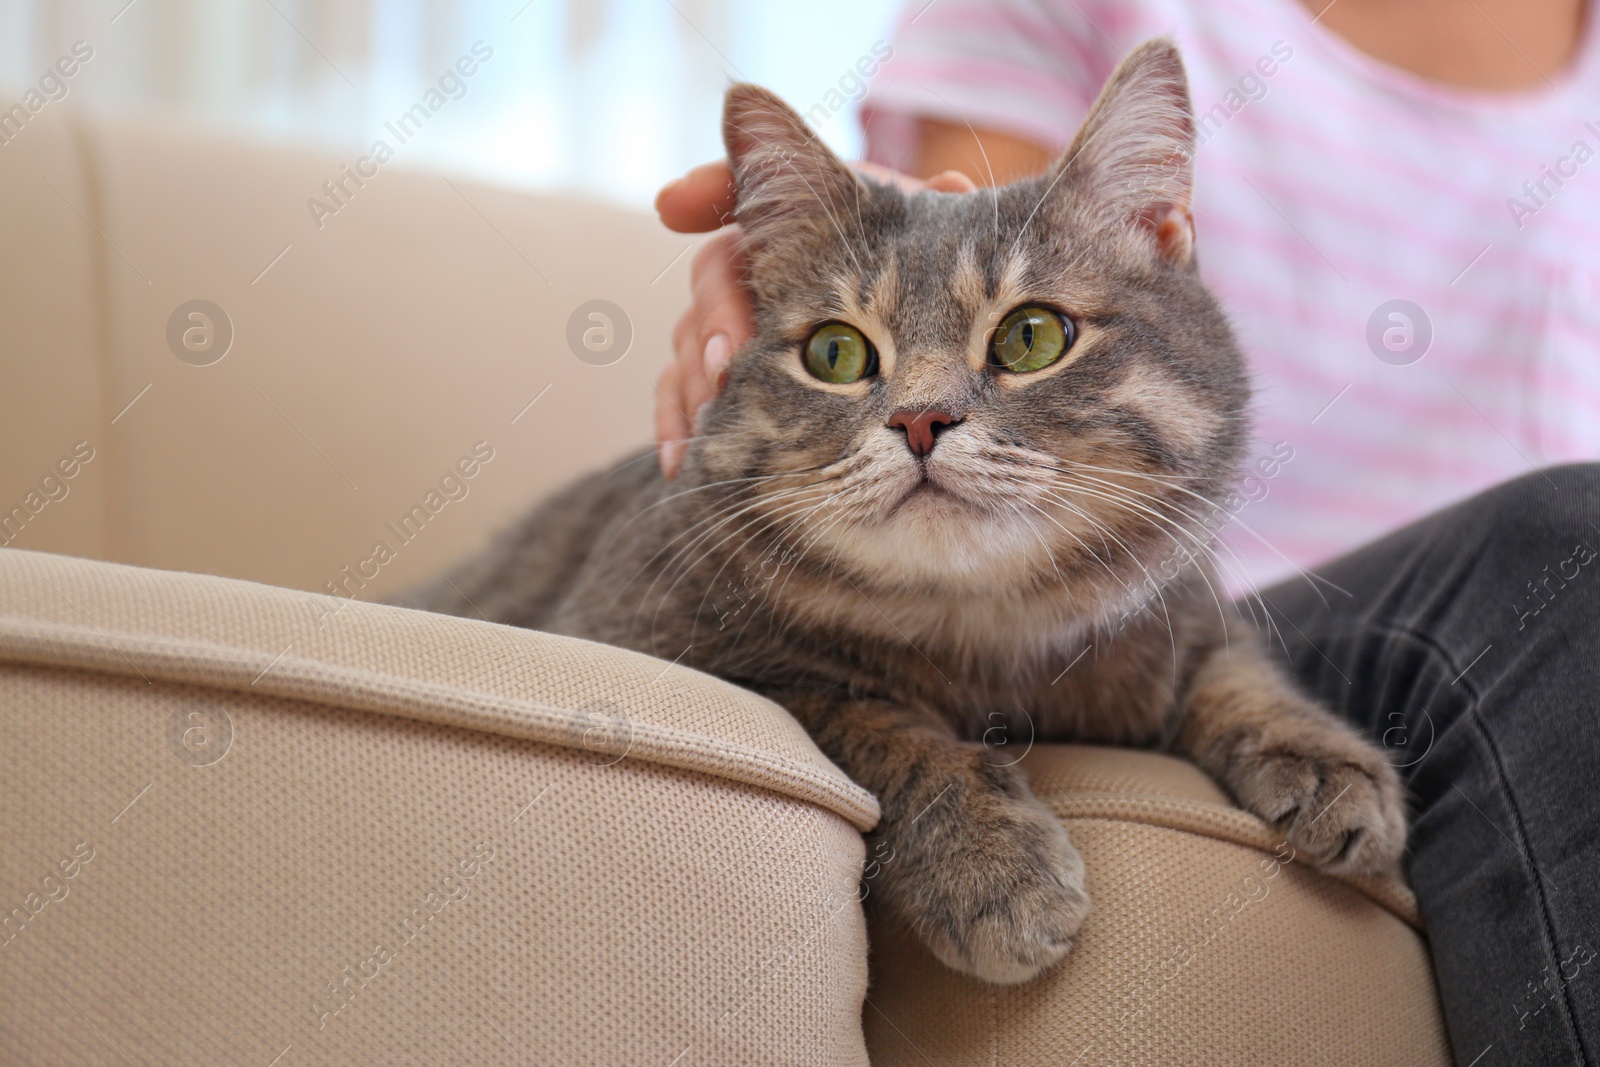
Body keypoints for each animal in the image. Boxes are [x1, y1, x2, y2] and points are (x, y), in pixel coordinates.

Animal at [396, 43, 1401, 991]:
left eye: (1031, 336)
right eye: (836, 353)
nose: (920, 419)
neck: (986, 636)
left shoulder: (1184, 608)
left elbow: (1239, 673)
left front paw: (1330, 764)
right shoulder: (648, 640)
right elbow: (870, 717)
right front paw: (990, 863)